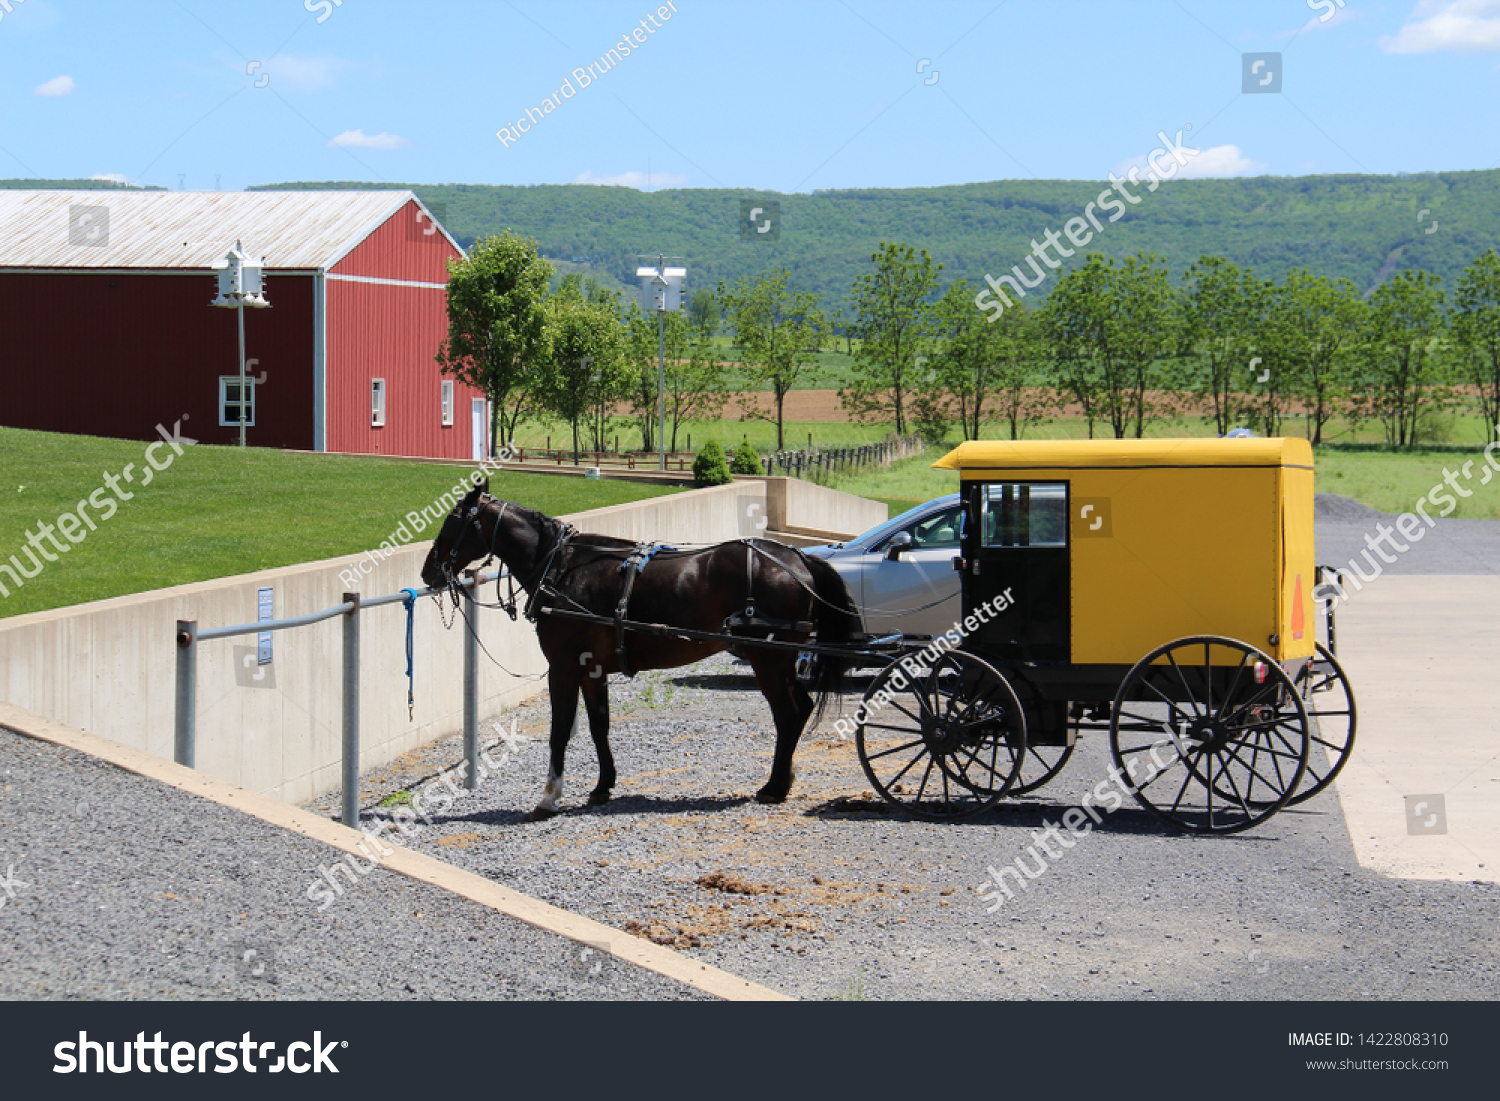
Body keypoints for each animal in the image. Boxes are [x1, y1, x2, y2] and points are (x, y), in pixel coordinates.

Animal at [420, 483, 858, 822]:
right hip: (780, 660)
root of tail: (796, 557)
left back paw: (774, 786)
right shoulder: (592, 669)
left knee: (787, 714)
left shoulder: (563, 668)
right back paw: (781, 781)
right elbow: (599, 726)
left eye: (452, 523)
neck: (563, 568)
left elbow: (559, 733)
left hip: (767, 658)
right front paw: (602, 786)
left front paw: (549, 798)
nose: (427, 571)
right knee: (800, 708)